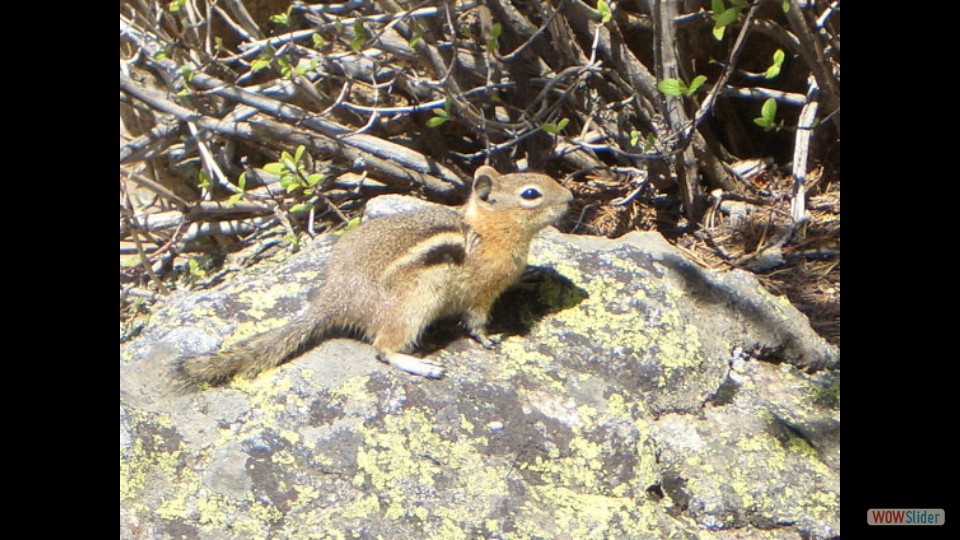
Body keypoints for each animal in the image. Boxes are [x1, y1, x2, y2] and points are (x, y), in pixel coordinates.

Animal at [177, 165, 572, 384]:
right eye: (531, 194)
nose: (570, 198)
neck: (490, 232)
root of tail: (337, 297)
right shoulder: (481, 292)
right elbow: (475, 322)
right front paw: (489, 339)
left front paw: (532, 274)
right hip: (414, 305)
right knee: (383, 348)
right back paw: (421, 366)